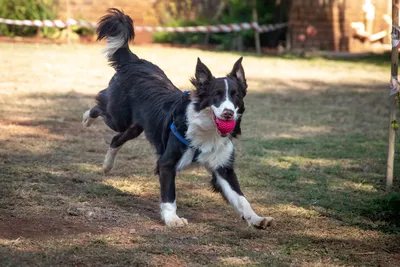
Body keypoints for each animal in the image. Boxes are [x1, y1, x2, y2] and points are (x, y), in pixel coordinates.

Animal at [83, 9, 274, 229]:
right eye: (216, 95)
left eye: (236, 96)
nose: (228, 114)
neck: (207, 130)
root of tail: (135, 62)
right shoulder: (167, 162)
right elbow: (169, 195)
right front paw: (172, 218)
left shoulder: (223, 168)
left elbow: (241, 199)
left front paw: (257, 219)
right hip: (118, 116)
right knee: (99, 106)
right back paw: (86, 119)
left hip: (136, 126)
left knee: (116, 139)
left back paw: (107, 166)